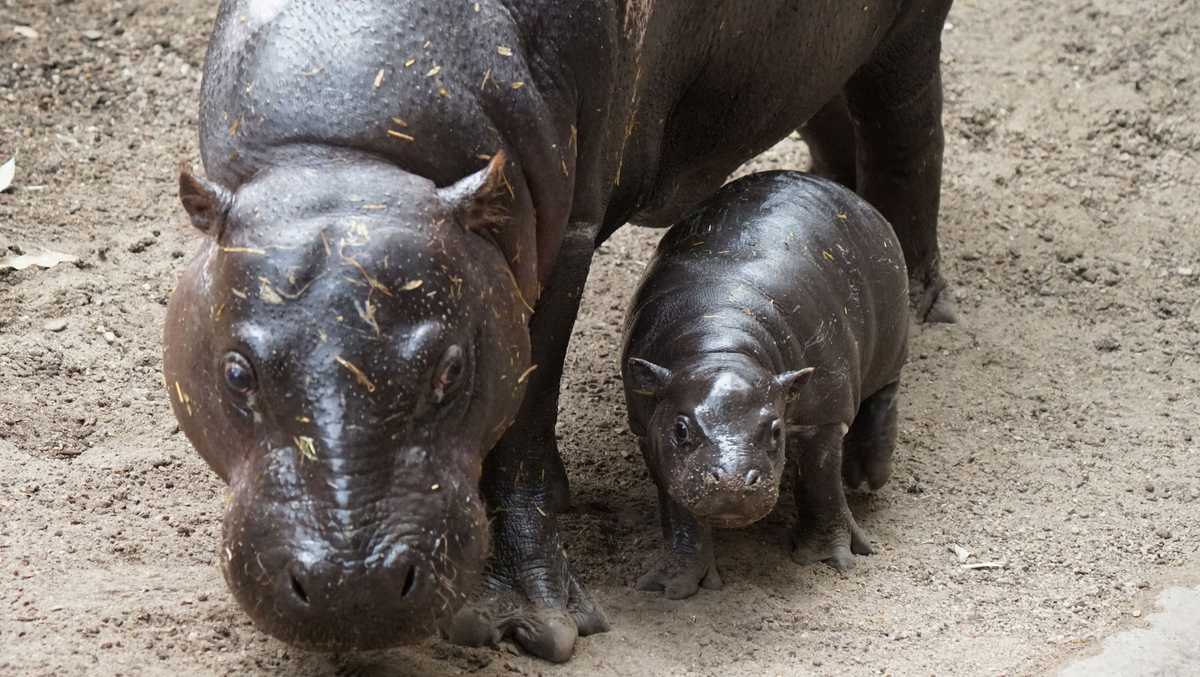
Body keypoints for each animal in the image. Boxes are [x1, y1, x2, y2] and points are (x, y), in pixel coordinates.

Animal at [622, 171, 908, 598]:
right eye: (681, 429)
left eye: (775, 431)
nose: (733, 481)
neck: (720, 345)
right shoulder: (648, 427)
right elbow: (677, 507)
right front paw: (672, 586)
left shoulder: (822, 415)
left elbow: (820, 483)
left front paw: (829, 559)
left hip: (892, 342)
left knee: (883, 397)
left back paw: (866, 477)